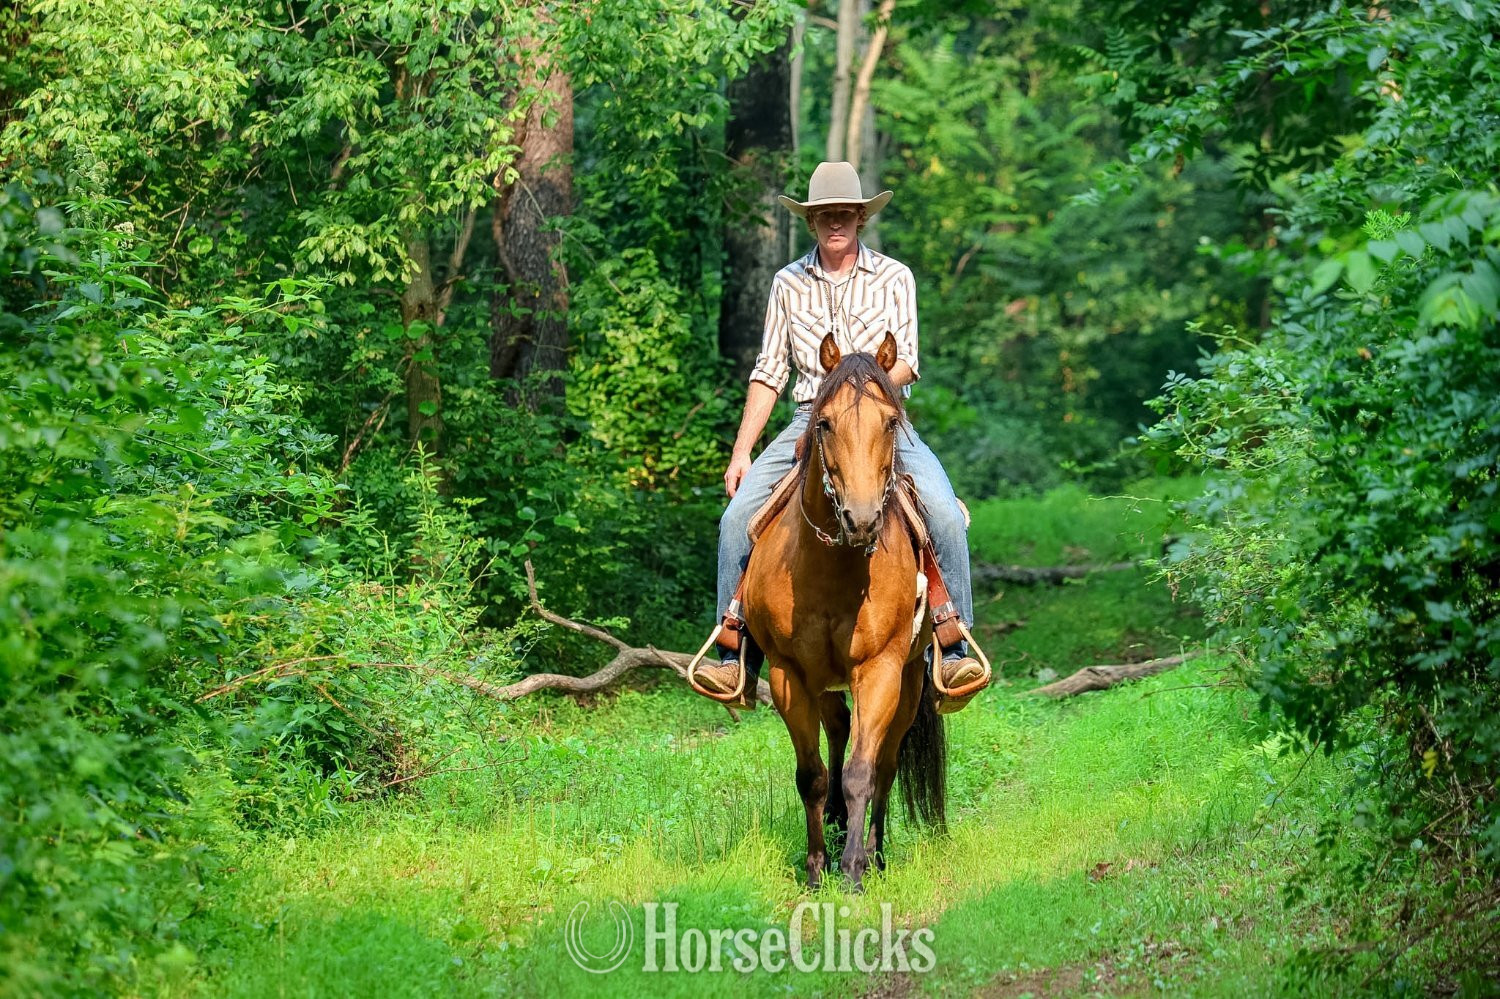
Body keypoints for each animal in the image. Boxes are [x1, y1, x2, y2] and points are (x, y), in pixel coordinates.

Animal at [741, 331, 946, 891]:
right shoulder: (789, 674)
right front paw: (816, 867)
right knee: (837, 732)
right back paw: (834, 829)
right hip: (824, 683)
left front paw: (853, 869)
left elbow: (862, 773)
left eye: (891, 421)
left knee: (885, 764)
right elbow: (811, 776)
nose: (861, 519)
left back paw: (874, 854)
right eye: (825, 422)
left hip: (909, 680)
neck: (833, 567)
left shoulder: (879, 671)